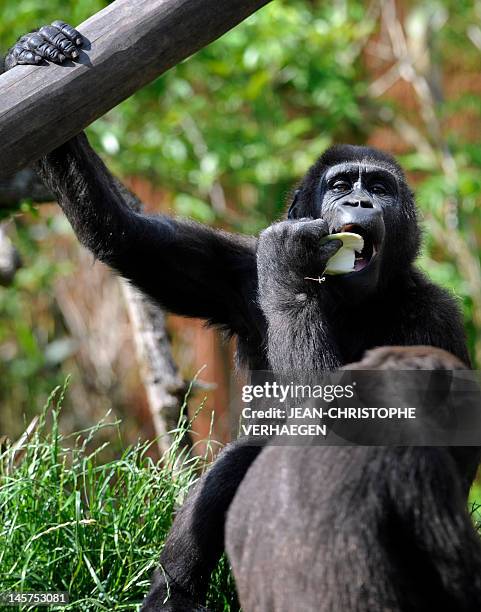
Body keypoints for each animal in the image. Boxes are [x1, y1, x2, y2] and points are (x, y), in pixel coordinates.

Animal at [3, 21, 474, 612]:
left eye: (380, 188)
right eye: (342, 185)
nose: (362, 204)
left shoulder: (434, 320)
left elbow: (357, 429)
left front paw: (290, 264)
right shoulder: (235, 272)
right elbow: (129, 238)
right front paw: (38, 52)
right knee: (238, 462)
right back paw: (174, 595)